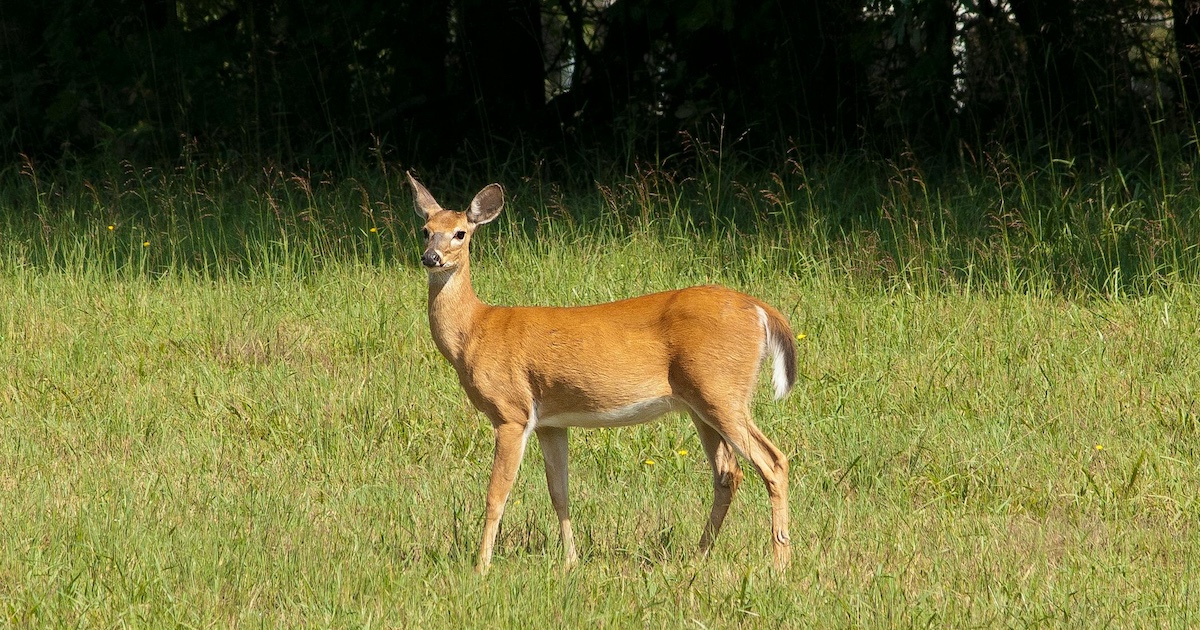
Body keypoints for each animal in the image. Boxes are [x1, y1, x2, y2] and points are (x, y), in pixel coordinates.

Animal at [408, 173, 797, 574]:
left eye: (460, 233)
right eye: (425, 230)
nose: (431, 258)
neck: (475, 330)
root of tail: (760, 309)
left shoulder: (511, 411)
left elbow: (496, 494)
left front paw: (481, 566)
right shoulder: (550, 421)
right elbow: (559, 493)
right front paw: (571, 561)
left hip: (721, 390)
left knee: (773, 461)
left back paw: (780, 562)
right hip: (700, 403)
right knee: (727, 472)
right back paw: (699, 555)